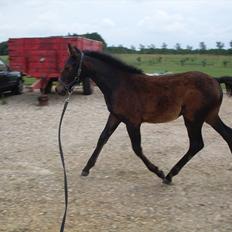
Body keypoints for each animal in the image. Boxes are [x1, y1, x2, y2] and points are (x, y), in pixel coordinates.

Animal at [56, 44, 232, 184]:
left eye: (68, 67)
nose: (59, 89)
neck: (120, 84)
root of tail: (215, 79)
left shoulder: (133, 122)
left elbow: (137, 148)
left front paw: (159, 172)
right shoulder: (115, 116)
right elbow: (102, 138)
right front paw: (86, 168)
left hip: (193, 119)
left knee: (196, 144)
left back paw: (169, 176)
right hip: (210, 116)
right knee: (227, 134)